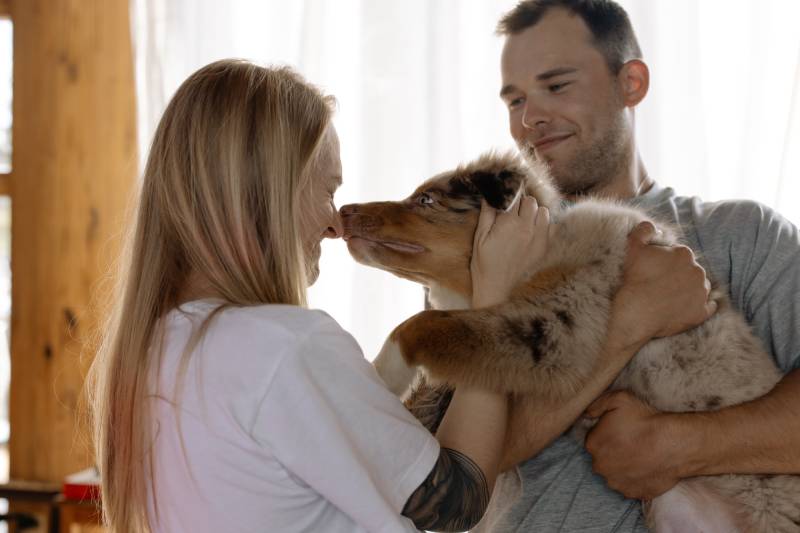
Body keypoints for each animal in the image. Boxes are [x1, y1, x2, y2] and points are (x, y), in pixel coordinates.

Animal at [340, 152, 800, 528]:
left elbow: (421, 324)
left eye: (427, 201)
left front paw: (382, 374)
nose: (344, 210)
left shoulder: (556, 332)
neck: (543, 246)